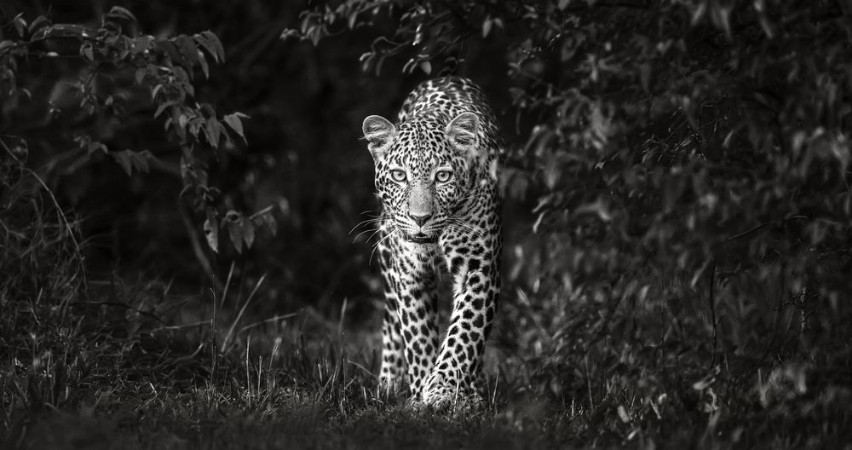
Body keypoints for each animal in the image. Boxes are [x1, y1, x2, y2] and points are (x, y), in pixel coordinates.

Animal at [361, 76, 502, 408]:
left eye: (443, 176)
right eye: (399, 175)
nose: (420, 218)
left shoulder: (479, 268)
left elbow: (466, 332)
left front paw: (443, 389)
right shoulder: (410, 274)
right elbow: (417, 337)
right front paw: (420, 396)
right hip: (387, 258)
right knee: (390, 323)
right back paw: (388, 385)